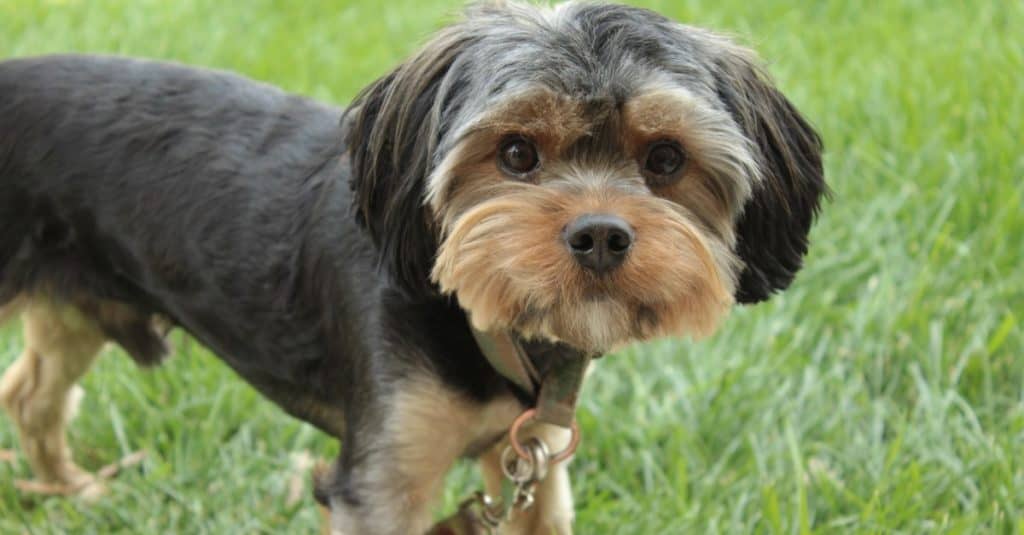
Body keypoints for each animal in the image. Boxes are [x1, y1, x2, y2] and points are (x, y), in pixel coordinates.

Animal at [0, 2, 823, 528]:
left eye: (666, 159)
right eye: (516, 153)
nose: (600, 235)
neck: (483, 320)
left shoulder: (531, 464)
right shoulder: (381, 481)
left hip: (74, 313)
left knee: (32, 394)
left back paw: (71, 489)